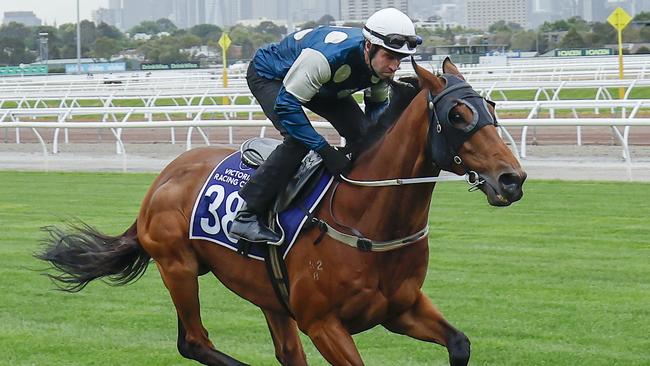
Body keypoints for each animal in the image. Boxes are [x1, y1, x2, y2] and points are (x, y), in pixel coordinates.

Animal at [36, 58, 528, 364]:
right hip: (177, 266)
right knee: (194, 341)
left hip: (268, 294)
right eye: (458, 115)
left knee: (280, 351)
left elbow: (460, 344)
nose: (512, 178)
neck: (365, 219)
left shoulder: (401, 309)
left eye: (492, 106)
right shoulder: (323, 323)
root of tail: (161, 180)